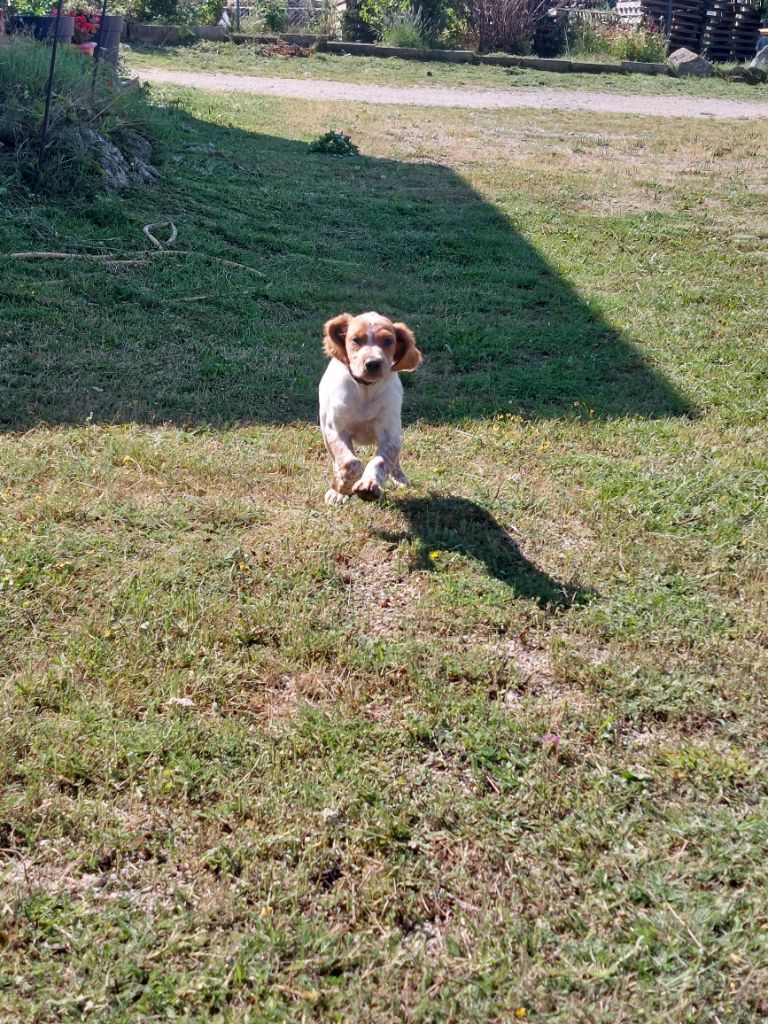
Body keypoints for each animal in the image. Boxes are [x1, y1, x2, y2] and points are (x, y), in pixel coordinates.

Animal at [319, 312, 423, 506]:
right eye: (355, 340)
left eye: (388, 341)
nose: (373, 363)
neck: (365, 389)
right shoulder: (335, 430)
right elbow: (349, 463)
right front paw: (341, 488)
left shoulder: (390, 436)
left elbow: (380, 461)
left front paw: (369, 484)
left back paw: (400, 477)